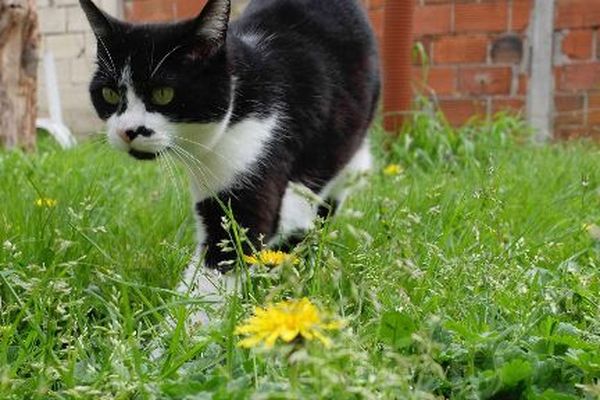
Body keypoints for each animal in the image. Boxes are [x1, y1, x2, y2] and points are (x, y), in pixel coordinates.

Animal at [79, 0, 380, 300]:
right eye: (110, 94)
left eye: (163, 94)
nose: (126, 131)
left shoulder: (258, 150)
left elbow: (229, 248)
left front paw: (186, 314)